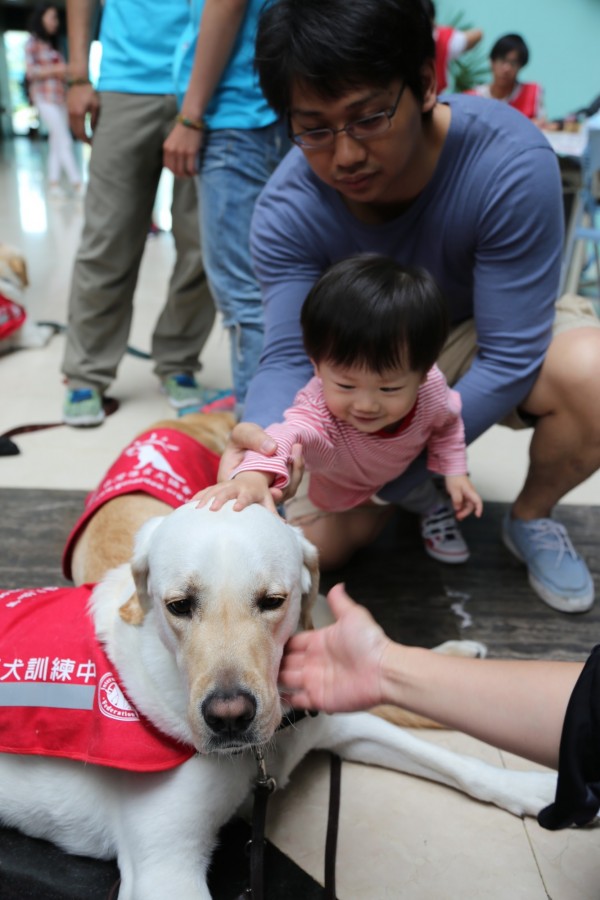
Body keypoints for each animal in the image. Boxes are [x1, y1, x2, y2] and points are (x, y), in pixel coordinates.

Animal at [0, 502, 556, 896]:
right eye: (178, 605)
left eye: (272, 601)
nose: (229, 719)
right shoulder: (166, 869)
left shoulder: (336, 723)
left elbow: (460, 764)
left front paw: (535, 789)